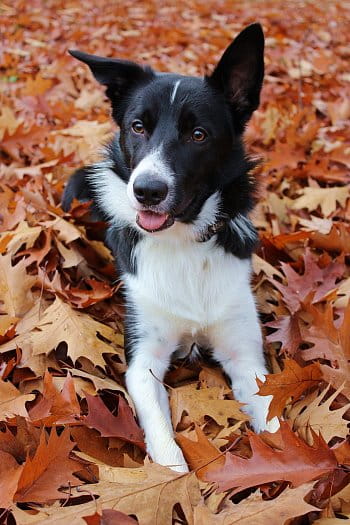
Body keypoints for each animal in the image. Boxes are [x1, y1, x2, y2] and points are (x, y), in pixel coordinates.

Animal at [62, 24, 278, 472]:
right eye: (137, 126)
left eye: (198, 135)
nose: (146, 190)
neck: (182, 241)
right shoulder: (143, 356)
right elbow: (163, 442)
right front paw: (173, 476)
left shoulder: (244, 354)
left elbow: (274, 417)